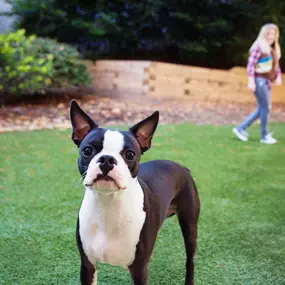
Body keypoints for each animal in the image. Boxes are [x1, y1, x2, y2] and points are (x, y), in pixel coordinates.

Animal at [70, 100, 200, 284]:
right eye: (87, 151)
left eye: (130, 154)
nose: (107, 159)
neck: (108, 204)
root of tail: (181, 167)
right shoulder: (87, 264)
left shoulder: (139, 269)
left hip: (190, 226)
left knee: (190, 260)